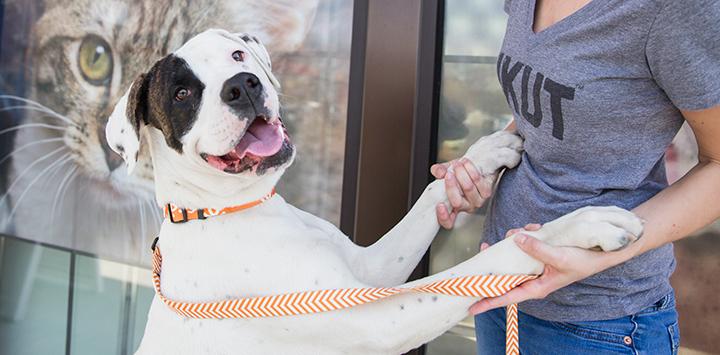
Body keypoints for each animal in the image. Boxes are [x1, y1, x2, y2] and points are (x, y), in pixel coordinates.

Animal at [105, 29, 640, 354]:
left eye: (236, 56)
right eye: (182, 93)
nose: (243, 84)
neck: (228, 208)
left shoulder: (370, 270)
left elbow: (429, 200)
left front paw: (481, 156)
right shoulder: (379, 321)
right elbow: (490, 261)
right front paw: (582, 226)